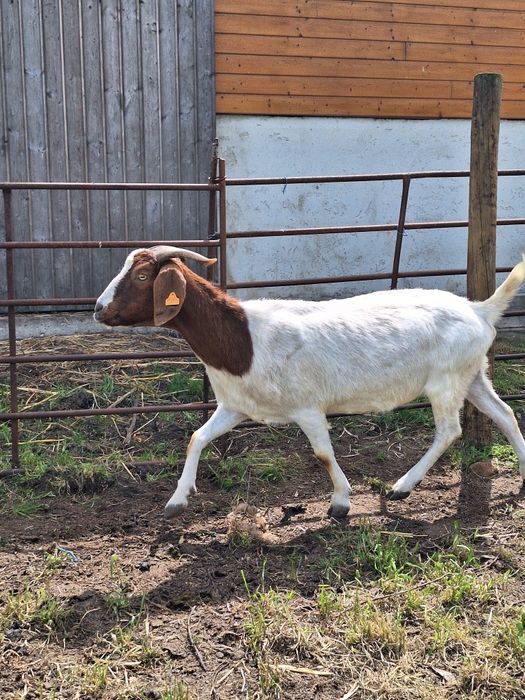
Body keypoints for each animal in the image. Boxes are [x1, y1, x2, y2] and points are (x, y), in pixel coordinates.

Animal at [94, 246, 525, 519]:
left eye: (143, 275)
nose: (98, 309)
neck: (243, 339)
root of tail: (480, 309)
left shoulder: (307, 407)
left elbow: (322, 454)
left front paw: (341, 503)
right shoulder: (235, 406)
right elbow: (196, 438)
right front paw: (177, 500)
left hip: (445, 380)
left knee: (449, 430)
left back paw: (402, 485)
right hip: (473, 375)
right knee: (504, 413)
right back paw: (522, 473)